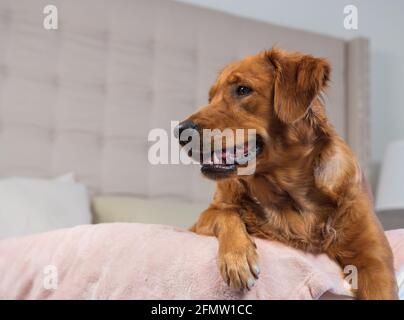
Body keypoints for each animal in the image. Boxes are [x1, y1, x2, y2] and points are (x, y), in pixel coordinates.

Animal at [174, 48, 398, 300]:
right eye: (210, 97)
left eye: (243, 89)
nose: (179, 131)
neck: (289, 192)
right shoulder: (201, 221)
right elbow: (225, 213)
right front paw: (238, 258)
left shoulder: (375, 259)